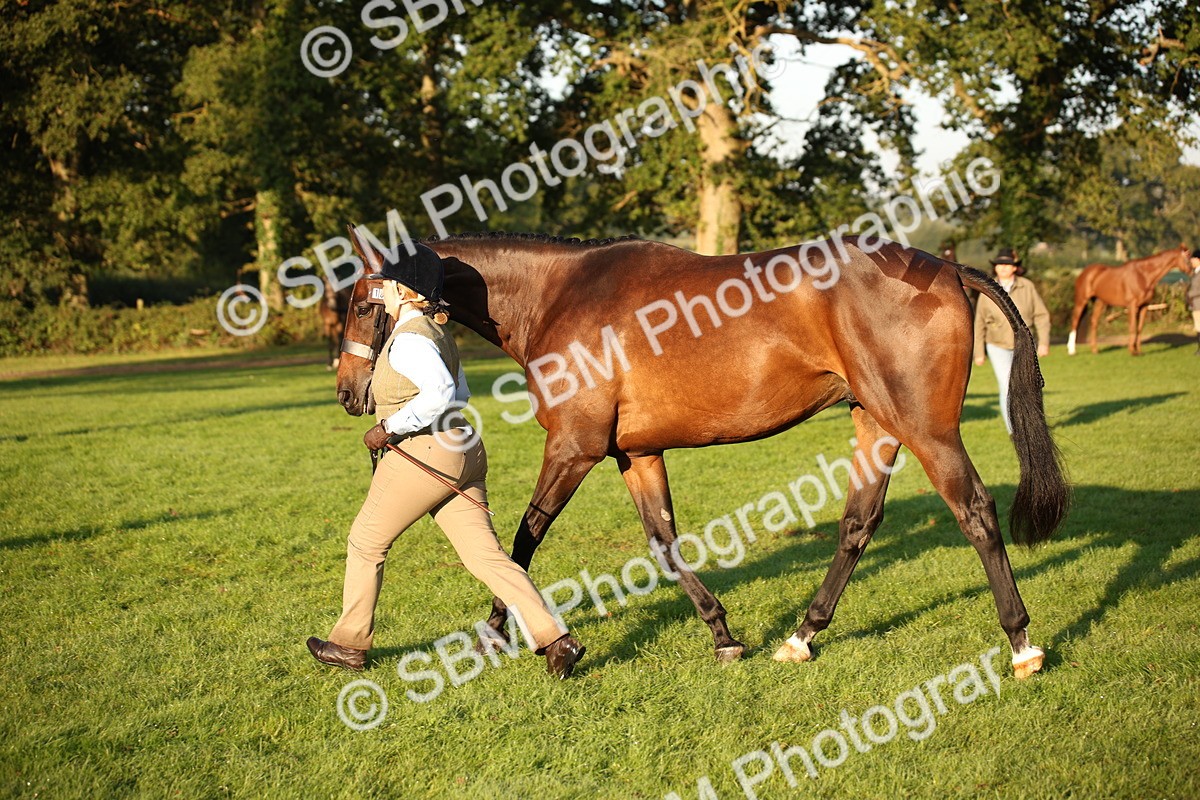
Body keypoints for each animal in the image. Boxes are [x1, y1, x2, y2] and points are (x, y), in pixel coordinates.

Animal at [335, 230, 1070, 679]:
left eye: (361, 305)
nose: (347, 393)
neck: (559, 295)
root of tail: (947, 268)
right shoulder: (637, 454)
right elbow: (663, 541)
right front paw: (722, 633)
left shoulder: (573, 448)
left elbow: (519, 540)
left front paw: (503, 630)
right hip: (877, 424)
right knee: (858, 525)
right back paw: (802, 636)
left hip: (927, 430)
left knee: (976, 512)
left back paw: (1023, 645)